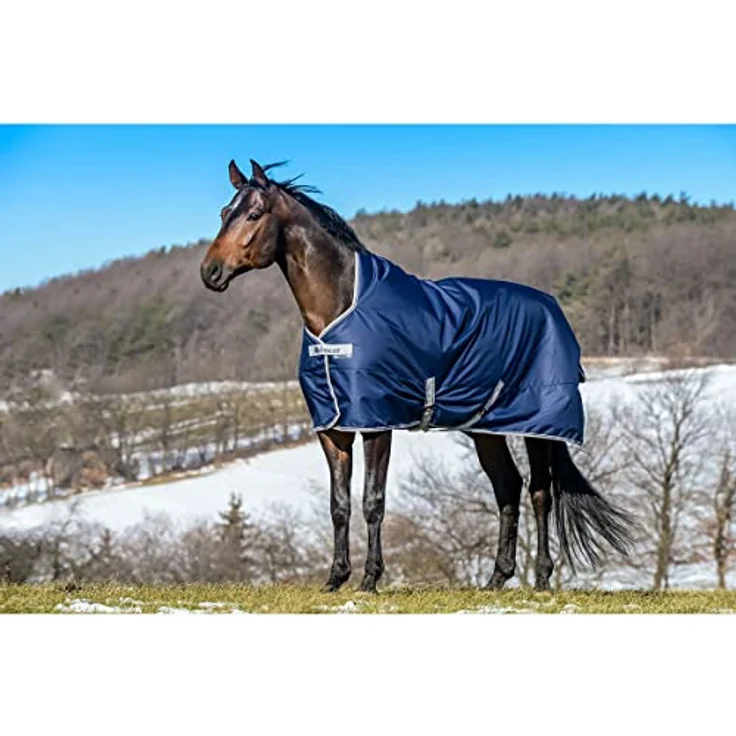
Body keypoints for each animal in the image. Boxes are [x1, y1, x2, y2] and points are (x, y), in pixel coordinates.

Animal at [200, 158, 634, 593]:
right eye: (223, 213)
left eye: (254, 214)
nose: (210, 272)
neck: (340, 312)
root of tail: (551, 308)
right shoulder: (333, 429)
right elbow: (338, 504)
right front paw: (335, 579)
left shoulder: (376, 424)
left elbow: (372, 501)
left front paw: (370, 579)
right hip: (486, 429)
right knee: (507, 487)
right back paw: (496, 578)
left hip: (538, 426)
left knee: (540, 491)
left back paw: (542, 579)